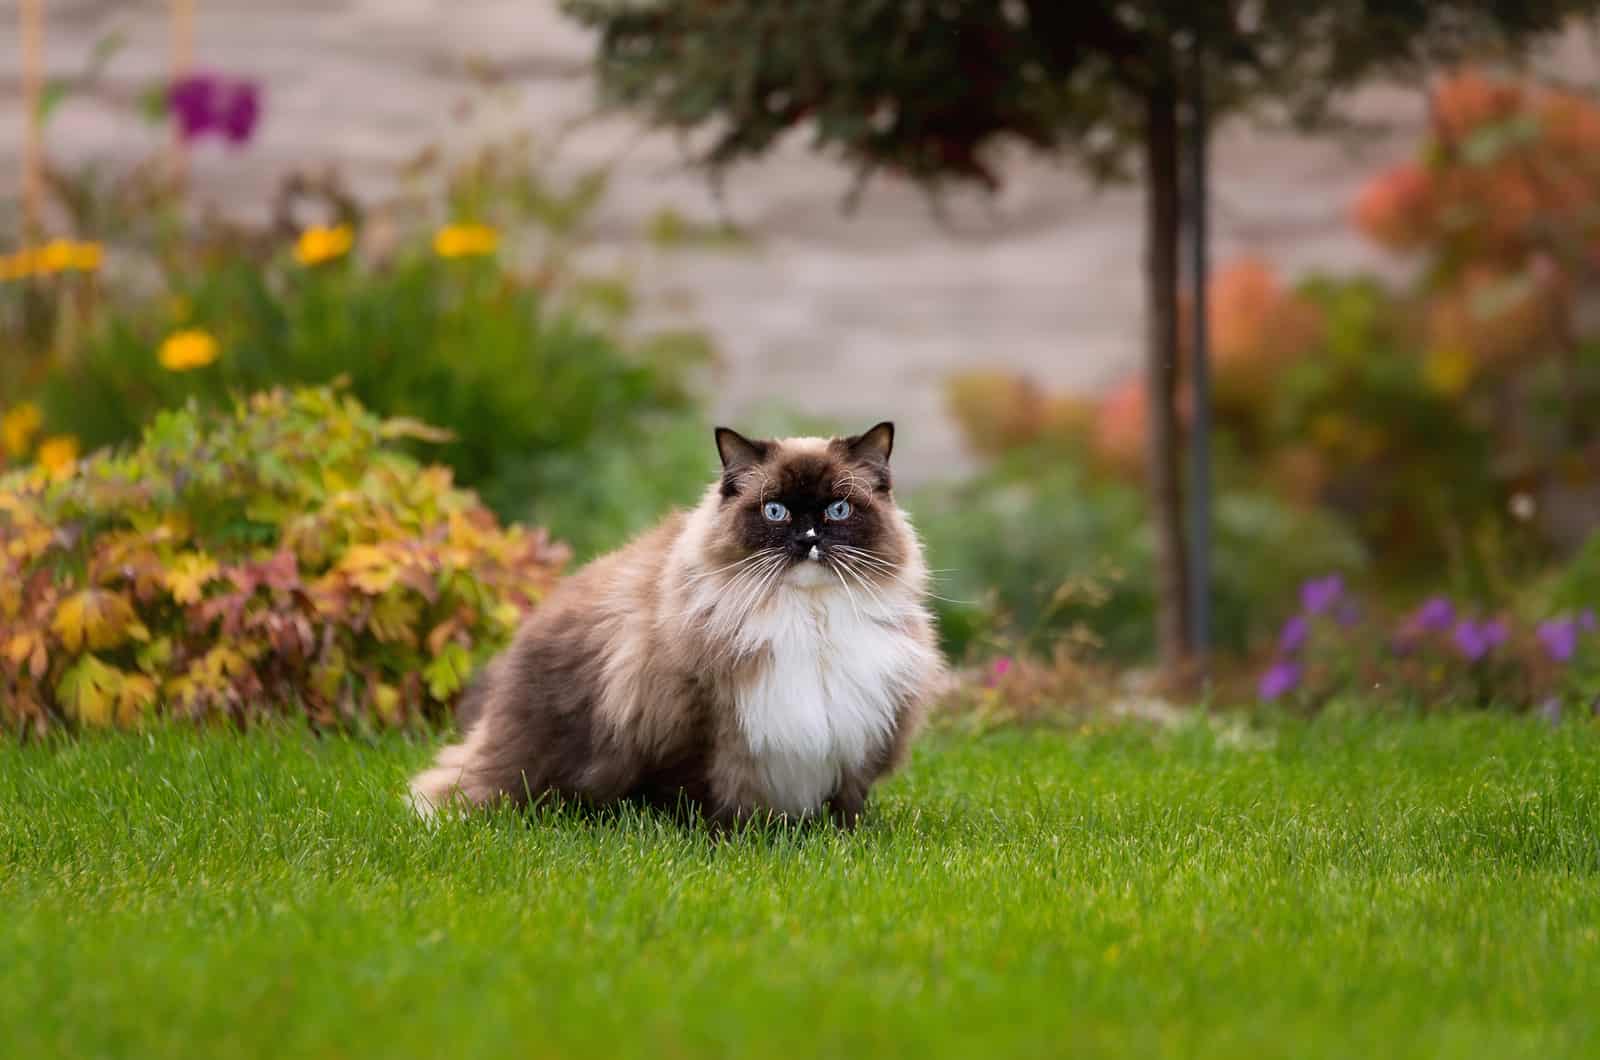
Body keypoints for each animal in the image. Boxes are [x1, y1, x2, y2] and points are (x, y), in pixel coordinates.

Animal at [406, 425, 940, 832]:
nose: (808, 538)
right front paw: (726, 840)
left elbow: (845, 808)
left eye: (837, 510)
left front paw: (840, 839)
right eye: (775, 511)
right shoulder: (698, 727)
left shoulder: (856, 740)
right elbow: (701, 800)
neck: (807, 619)